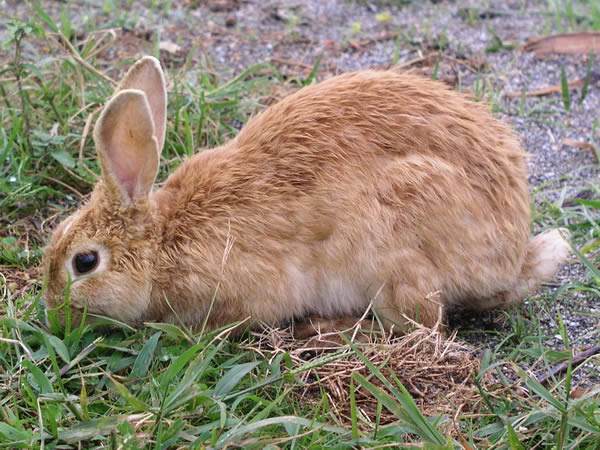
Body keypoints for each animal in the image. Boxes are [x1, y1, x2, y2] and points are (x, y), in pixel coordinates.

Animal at [41, 56, 568, 334]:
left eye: (85, 263)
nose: (53, 313)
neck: (163, 243)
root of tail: (510, 256)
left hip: (391, 243)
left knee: (422, 321)